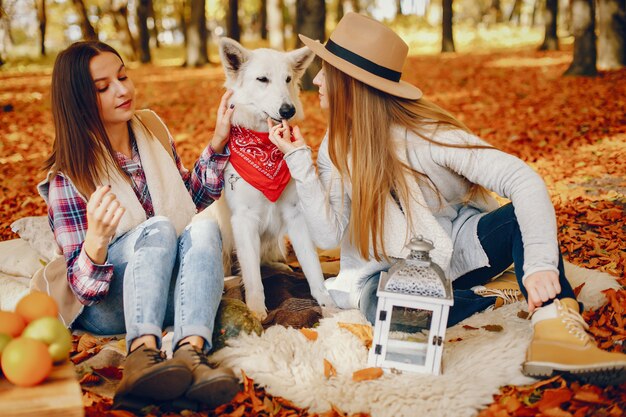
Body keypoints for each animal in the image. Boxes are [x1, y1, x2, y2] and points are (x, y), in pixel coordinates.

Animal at [200, 38, 336, 318]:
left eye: (287, 79)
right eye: (262, 79)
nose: (288, 110)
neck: (263, 146)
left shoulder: (296, 215)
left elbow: (313, 268)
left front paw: (328, 305)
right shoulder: (244, 219)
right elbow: (252, 275)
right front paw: (255, 311)